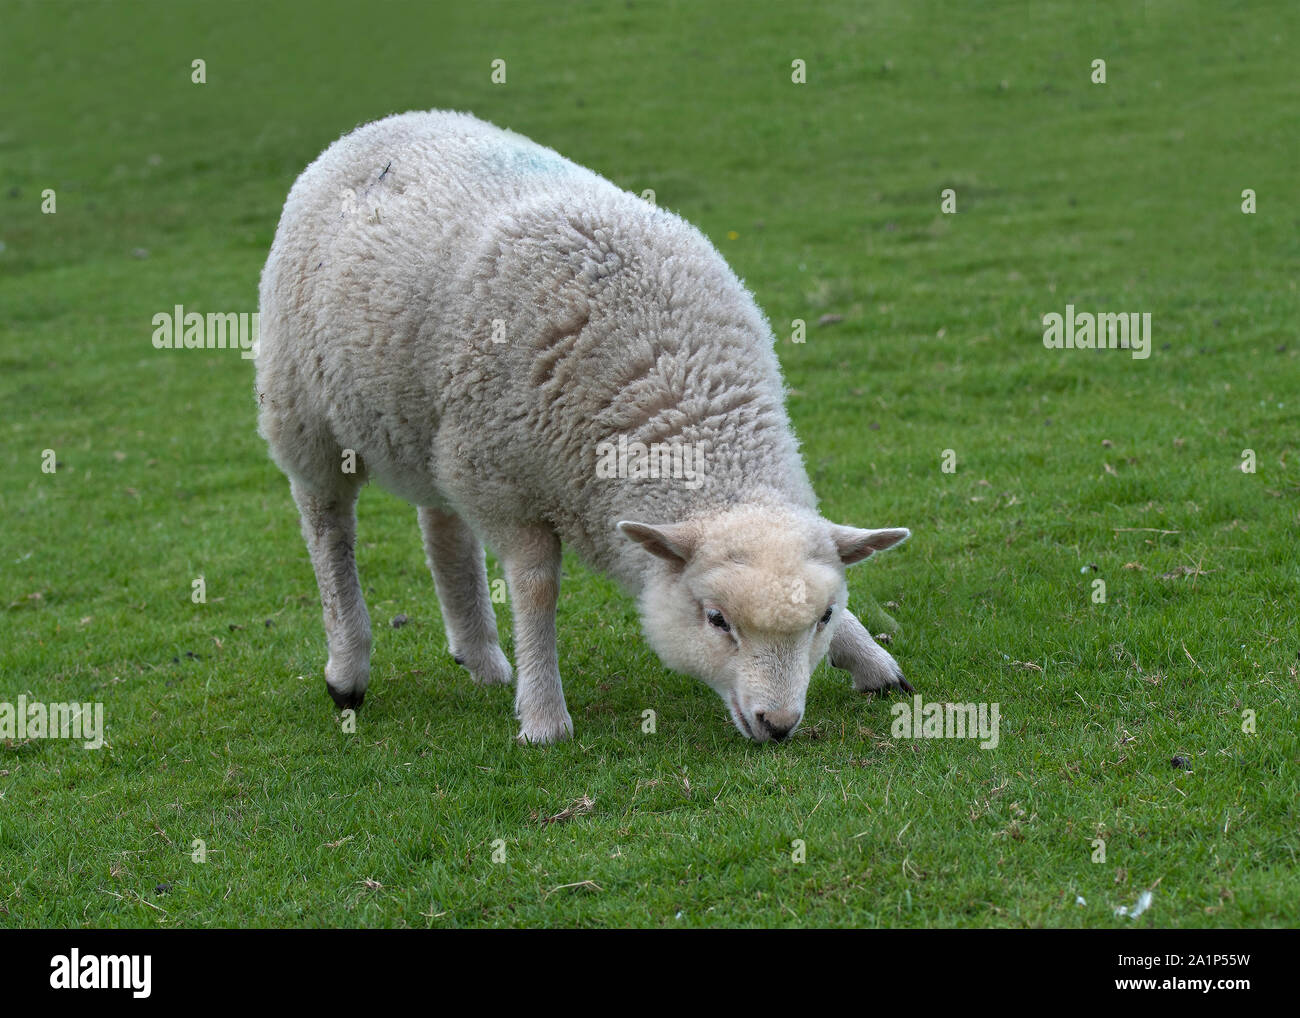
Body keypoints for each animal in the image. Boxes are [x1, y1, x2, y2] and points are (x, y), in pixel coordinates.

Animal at [256, 111, 915, 743]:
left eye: (823, 618)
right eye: (716, 620)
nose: (777, 725)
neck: (671, 392)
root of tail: (377, 126)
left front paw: (870, 660)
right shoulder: (501, 478)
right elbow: (535, 588)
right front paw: (544, 717)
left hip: (428, 427)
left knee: (442, 526)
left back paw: (479, 656)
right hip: (303, 411)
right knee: (327, 525)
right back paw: (348, 669)